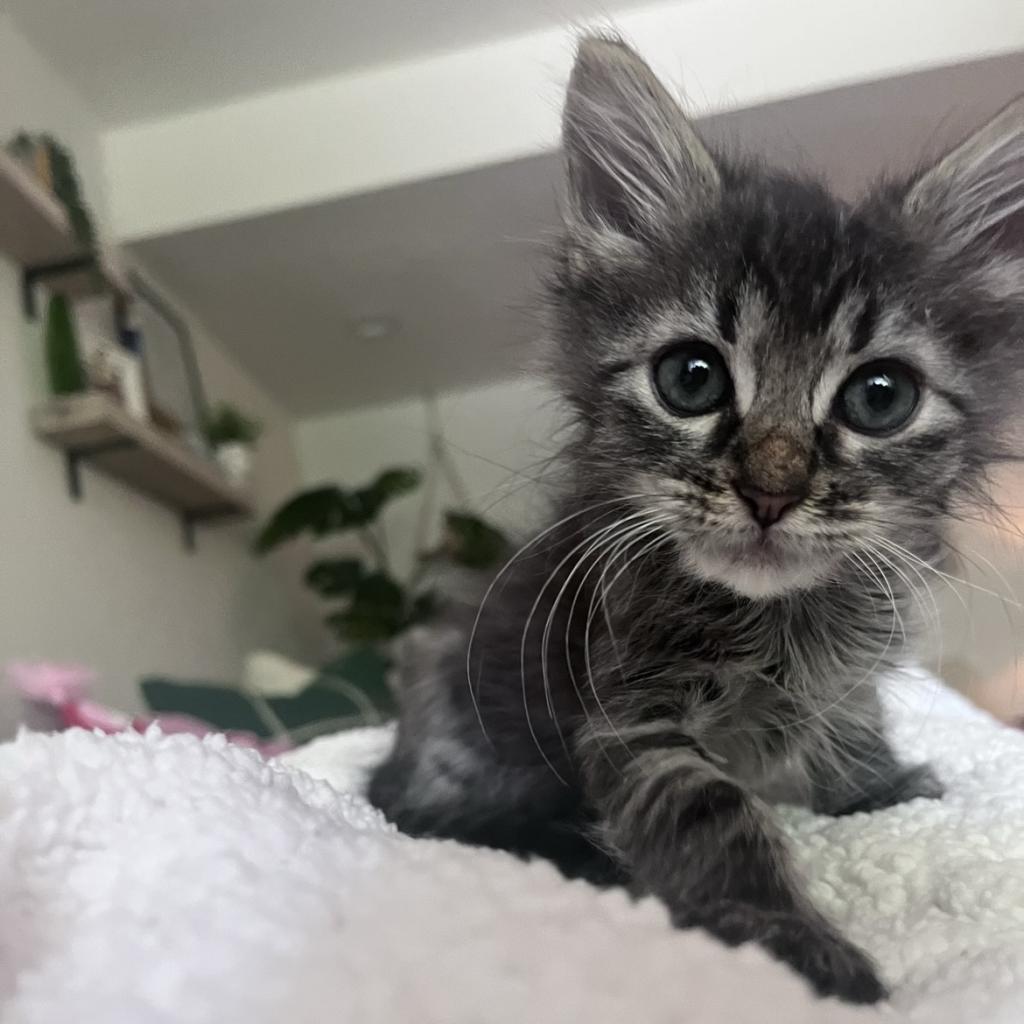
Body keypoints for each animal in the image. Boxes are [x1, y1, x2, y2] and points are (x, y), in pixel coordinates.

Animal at [370, 36, 1024, 1003]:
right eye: (691, 378)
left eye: (881, 397)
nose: (772, 491)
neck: (778, 621)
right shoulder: (630, 712)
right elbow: (711, 812)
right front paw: (793, 943)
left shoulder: (851, 672)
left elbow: (854, 725)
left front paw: (884, 791)